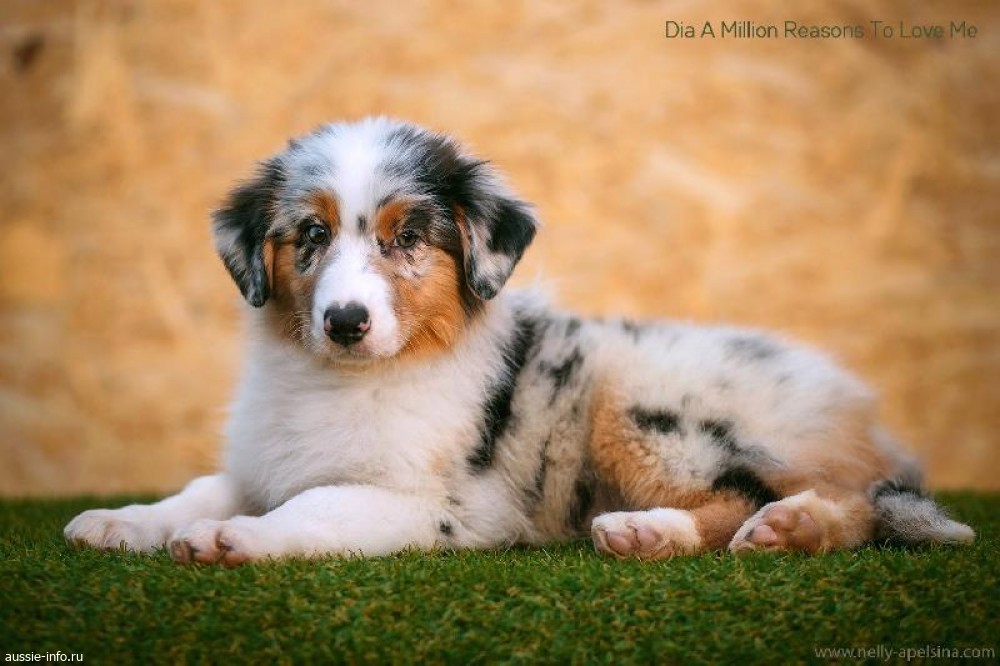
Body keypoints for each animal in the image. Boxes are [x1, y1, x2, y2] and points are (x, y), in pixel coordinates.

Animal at [65, 117, 974, 565]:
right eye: (312, 234)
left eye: (407, 237)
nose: (345, 321)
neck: (347, 379)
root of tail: (865, 416)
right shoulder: (265, 461)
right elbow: (202, 488)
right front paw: (120, 522)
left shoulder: (435, 502)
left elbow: (318, 507)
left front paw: (236, 541)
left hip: (646, 402)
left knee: (825, 503)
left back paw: (715, 531)